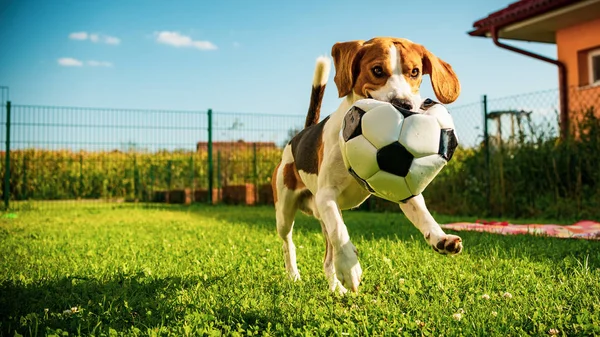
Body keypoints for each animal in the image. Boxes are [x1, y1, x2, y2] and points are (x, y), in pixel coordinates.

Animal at [272, 36, 464, 292]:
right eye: (377, 70)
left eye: (414, 72)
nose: (403, 104)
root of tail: (300, 135)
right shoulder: (327, 195)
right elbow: (340, 230)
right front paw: (349, 266)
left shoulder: (404, 190)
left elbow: (424, 216)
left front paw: (440, 237)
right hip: (284, 211)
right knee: (289, 243)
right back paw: (294, 274)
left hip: (319, 215)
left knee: (327, 259)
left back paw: (336, 288)